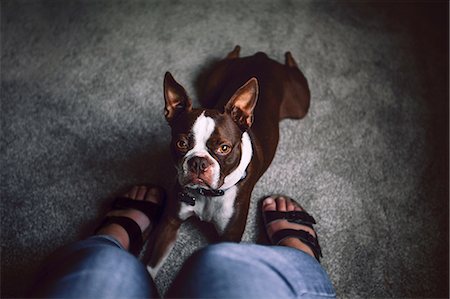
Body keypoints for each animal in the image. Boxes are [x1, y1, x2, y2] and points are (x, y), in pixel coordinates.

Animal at [146, 45, 312, 276]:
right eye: (181, 144)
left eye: (224, 148)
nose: (198, 162)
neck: (207, 195)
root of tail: (262, 57)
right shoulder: (170, 224)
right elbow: (151, 265)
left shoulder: (228, 238)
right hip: (212, 83)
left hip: (300, 104)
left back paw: (287, 57)